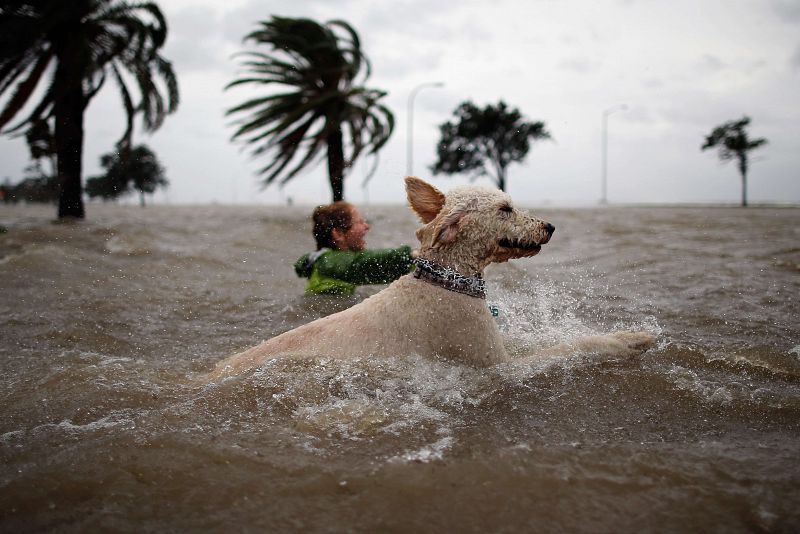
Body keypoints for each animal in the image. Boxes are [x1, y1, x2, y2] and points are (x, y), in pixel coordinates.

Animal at [209, 177, 652, 382]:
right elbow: (575, 347)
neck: (446, 280)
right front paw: (629, 339)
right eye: (506, 209)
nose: (550, 226)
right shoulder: (494, 366)